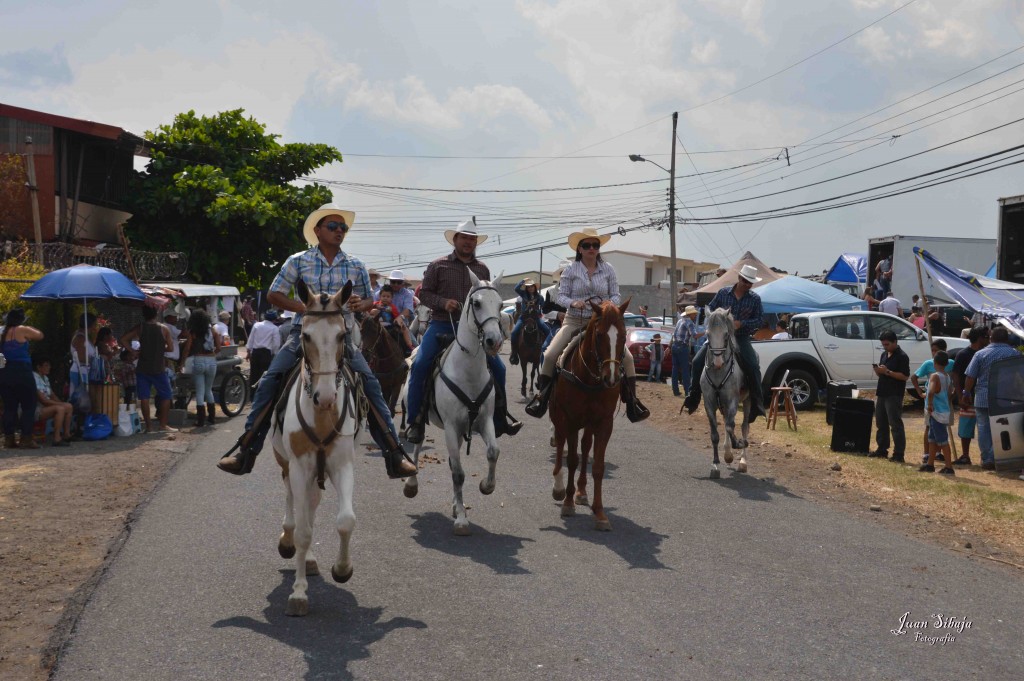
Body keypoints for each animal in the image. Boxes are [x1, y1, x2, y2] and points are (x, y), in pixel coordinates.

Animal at [272, 278, 360, 614]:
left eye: (341, 335)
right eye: (306, 335)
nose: (325, 397)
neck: (322, 416)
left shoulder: (342, 465)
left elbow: (345, 521)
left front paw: (342, 569)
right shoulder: (299, 466)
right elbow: (304, 531)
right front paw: (298, 593)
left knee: (310, 504)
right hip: (287, 464)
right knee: (293, 505)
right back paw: (287, 540)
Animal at [403, 268, 507, 532]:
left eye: (501, 304)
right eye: (477, 303)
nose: (494, 341)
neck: (468, 373)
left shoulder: (485, 421)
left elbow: (493, 452)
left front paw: (486, 486)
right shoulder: (450, 427)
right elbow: (458, 473)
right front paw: (461, 518)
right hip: (426, 422)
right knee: (417, 446)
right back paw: (411, 484)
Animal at [548, 299, 626, 532]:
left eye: (624, 335)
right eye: (599, 335)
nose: (611, 378)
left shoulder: (604, 423)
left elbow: (598, 467)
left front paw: (599, 513)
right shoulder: (571, 419)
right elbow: (572, 460)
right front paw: (567, 502)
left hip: (588, 424)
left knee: (585, 447)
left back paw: (582, 492)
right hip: (559, 417)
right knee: (561, 443)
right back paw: (559, 487)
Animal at [704, 307, 753, 477]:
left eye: (726, 335)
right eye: (707, 334)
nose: (718, 362)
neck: (719, 372)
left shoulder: (732, 401)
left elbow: (732, 427)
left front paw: (738, 443)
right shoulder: (709, 403)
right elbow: (715, 434)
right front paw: (715, 464)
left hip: (747, 401)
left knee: (744, 426)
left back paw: (743, 462)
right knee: (726, 422)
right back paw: (727, 454)